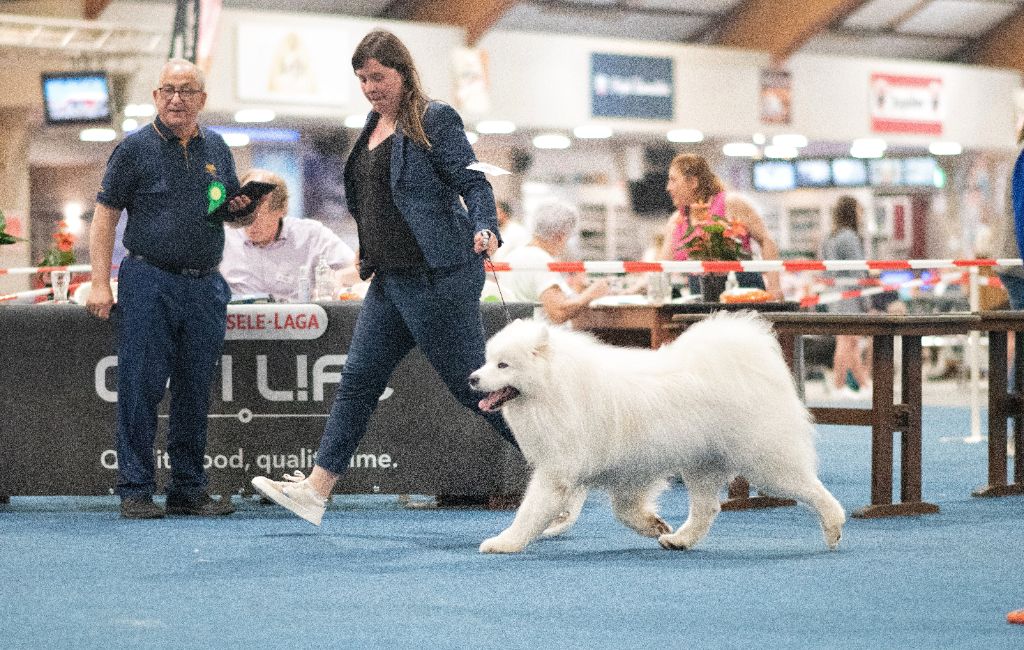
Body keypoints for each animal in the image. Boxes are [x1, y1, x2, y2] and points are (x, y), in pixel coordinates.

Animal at [468, 313, 843, 556]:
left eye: (503, 365)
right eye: (487, 361)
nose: (472, 378)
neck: (556, 386)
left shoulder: (558, 472)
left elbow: (530, 512)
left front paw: (504, 542)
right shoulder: (628, 470)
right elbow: (624, 510)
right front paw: (654, 525)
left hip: (765, 463)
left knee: (810, 488)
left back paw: (834, 527)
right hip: (701, 466)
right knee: (707, 508)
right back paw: (680, 539)